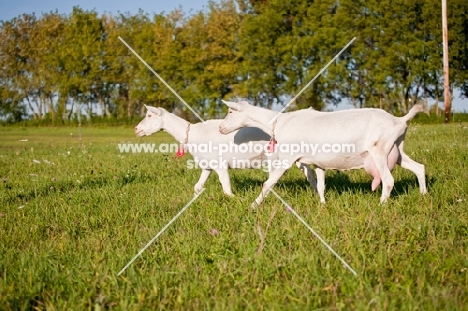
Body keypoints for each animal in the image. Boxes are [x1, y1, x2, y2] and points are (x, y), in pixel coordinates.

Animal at [133, 106, 320, 196]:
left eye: (149, 116)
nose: (136, 129)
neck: (193, 134)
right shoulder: (207, 166)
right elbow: (197, 186)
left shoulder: (220, 165)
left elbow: (226, 186)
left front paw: (234, 200)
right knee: (310, 173)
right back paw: (314, 193)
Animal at [219, 101, 428, 206]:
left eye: (230, 111)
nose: (221, 128)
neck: (278, 123)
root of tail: (400, 120)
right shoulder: (317, 162)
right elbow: (319, 185)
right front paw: (322, 205)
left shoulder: (287, 159)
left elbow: (268, 184)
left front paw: (252, 206)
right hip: (397, 150)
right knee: (419, 167)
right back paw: (424, 195)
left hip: (380, 150)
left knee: (388, 180)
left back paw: (381, 205)